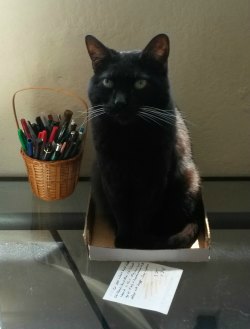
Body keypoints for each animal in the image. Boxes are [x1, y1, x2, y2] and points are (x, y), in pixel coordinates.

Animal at [85, 34, 204, 249]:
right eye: (107, 82)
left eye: (140, 83)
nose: (120, 102)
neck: (129, 136)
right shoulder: (111, 174)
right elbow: (121, 208)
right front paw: (124, 241)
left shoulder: (154, 176)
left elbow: (144, 211)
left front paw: (138, 242)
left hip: (188, 179)